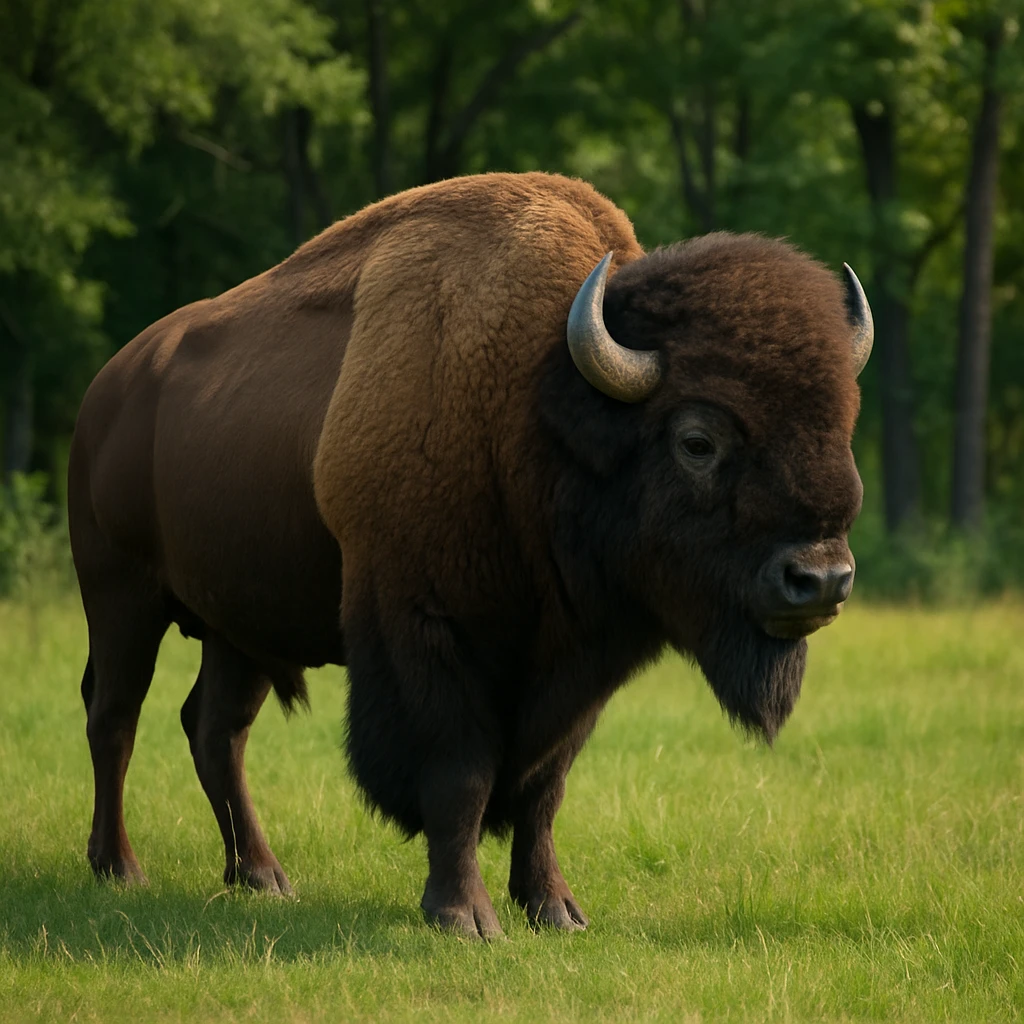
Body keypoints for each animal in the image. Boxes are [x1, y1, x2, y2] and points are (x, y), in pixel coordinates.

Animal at [69, 172, 870, 939]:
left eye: (842, 426)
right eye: (697, 441)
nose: (822, 579)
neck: (536, 409)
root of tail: (108, 388)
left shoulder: (574, 667)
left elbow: (544, 787)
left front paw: (556, 910)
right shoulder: (425, 635)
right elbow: (460, 775)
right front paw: (464, 917)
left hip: (238, 626)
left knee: (216, 730)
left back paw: (261, 877)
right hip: (120, 598)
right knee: (115, 717)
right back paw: (120, 869)